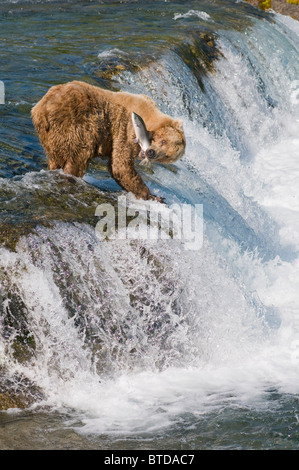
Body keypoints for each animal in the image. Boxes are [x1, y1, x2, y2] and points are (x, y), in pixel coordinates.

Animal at [31, 81, 185, 198]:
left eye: (166, 156)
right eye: (163, 141)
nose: (151, 152)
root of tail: (41, 109)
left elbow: (116, 166)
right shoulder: (126, 128)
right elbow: (121, 165)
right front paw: (152, 196)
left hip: (50, 136)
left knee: (56, 158)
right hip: (73, 124)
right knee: (79, 155)